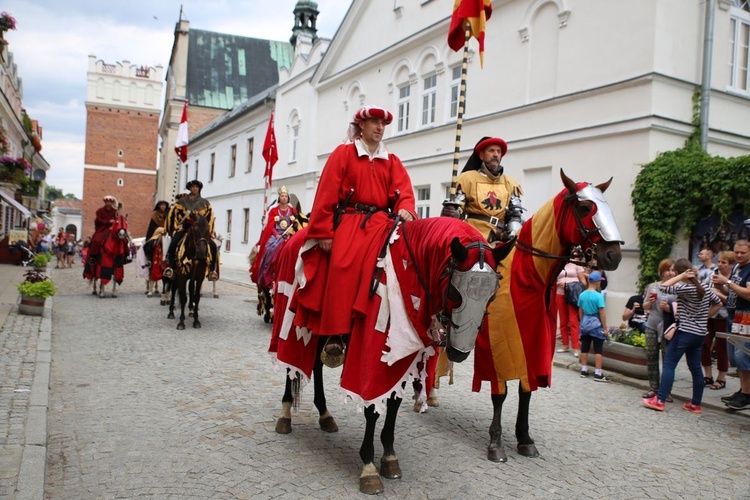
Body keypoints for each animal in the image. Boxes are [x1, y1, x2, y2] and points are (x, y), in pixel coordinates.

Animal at [270, 217, 512, 494]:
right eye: (454, 293)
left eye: (492, 295)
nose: (458, 353)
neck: (409, 271)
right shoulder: (369, 360)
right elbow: (372, 409)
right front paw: (368, 466)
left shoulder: (400, 359)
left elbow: (394, 404)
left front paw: (389, 457)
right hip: (291, 327)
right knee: (291, 367)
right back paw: (285, 415)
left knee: (316, 367)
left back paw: (325, 414)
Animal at [470, 171, 624, 460]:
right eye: (585, 207)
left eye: (607, 205)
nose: (614, 255)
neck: (529, 278)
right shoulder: (495, 349)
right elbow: (500, 393)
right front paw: (496, 442)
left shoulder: (535, 348)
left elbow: (526, 391)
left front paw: (524, 438)